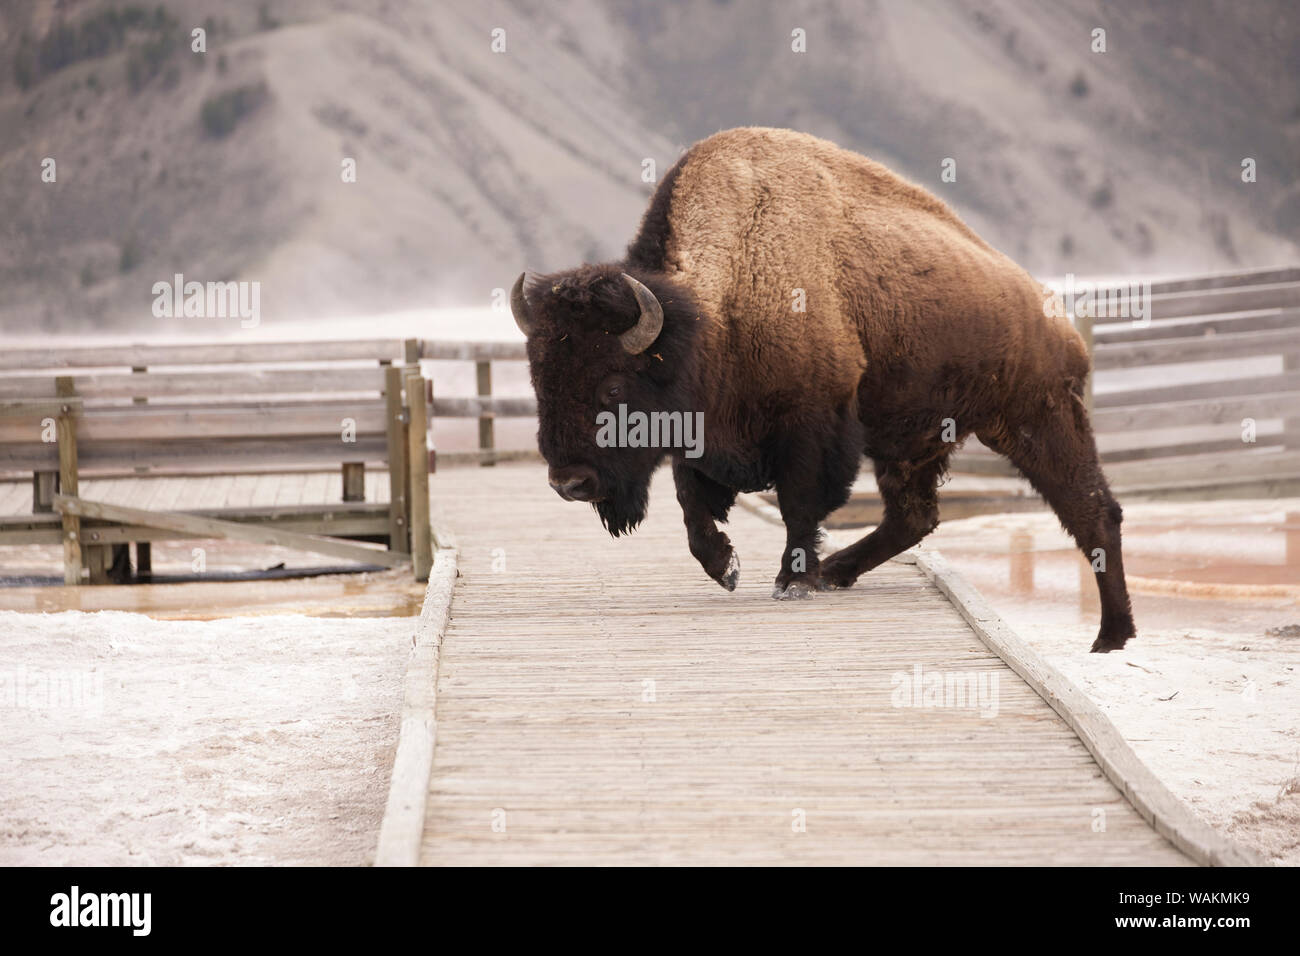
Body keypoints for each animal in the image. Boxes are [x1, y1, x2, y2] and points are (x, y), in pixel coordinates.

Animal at [506, 125, 1138, 650]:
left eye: (613, 386)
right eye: (540, 379)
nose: (570, 482)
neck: (715, 310)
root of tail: (1055, 318)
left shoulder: (811, 426)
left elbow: (799, 503)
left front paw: (794, 580)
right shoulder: (701, 434)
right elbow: (692, 506)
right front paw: (727, 568)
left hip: (1035, 415)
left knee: (1091, 509)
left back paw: (1111, 637)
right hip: (912, 443)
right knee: (915, 516)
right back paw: (841, 573)